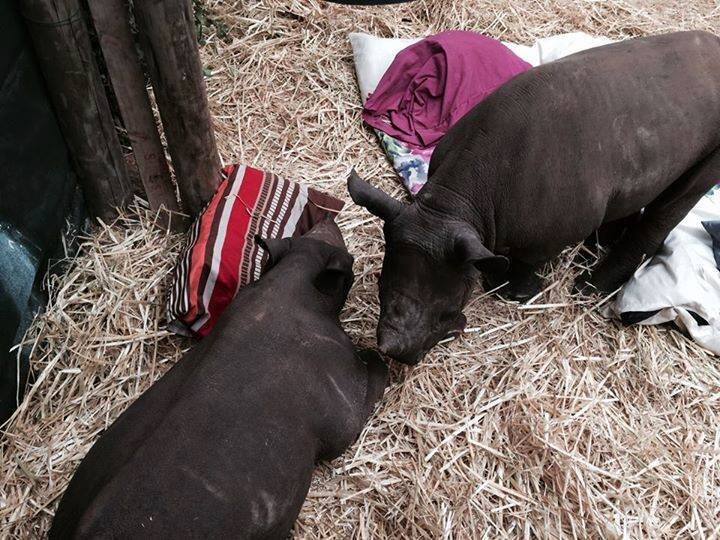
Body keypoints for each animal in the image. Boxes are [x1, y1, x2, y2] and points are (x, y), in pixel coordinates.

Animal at [349, 31, 720, 364]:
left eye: (447, 310)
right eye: (379, 286)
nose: (395, 353)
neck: (453, 205)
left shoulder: (546, 235)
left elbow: (526, 261)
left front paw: (516, 293)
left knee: (677, 199)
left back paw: (588, 289)